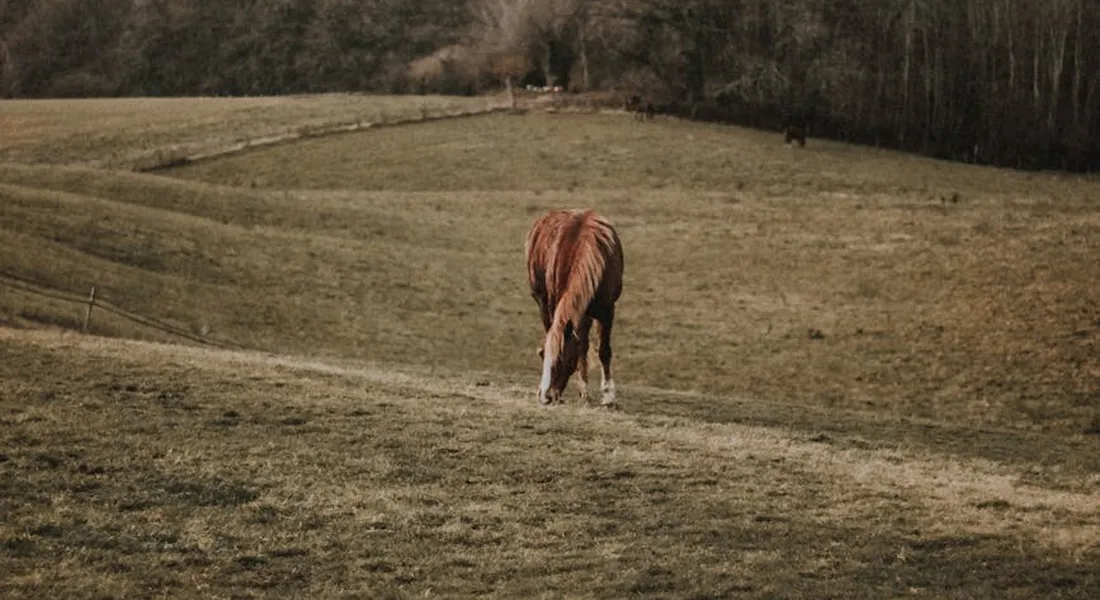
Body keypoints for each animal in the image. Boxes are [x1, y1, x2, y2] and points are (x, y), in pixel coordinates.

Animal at [525, 209, 624, 406]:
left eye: (562, 359)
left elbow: (604, 350)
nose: (545, 397)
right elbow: (581, 348)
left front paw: (608, 395)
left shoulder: (607, 310)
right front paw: (584, 391)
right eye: (542, 355)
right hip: (544, 302)